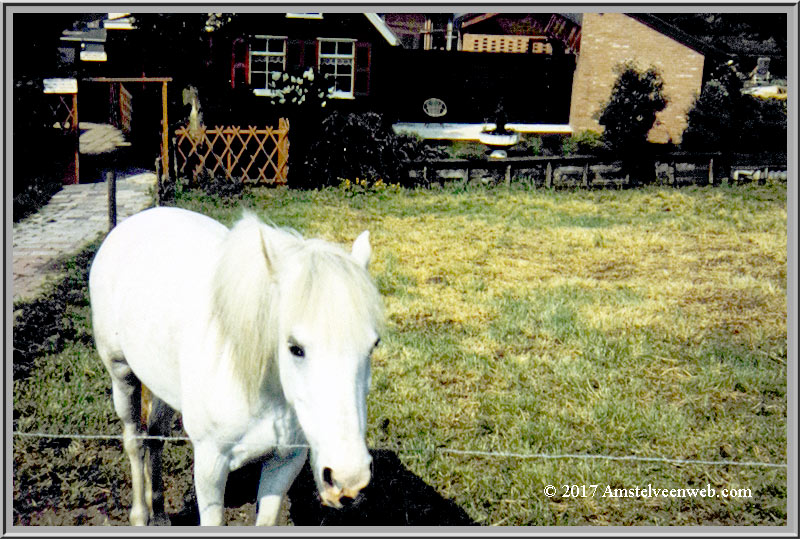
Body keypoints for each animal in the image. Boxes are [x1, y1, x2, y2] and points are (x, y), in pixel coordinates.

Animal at [89, 208, 382, 528]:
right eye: (295, 347)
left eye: (373, 345)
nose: (348, 478)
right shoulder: (211, 464)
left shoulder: (285, 462)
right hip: (122, 375)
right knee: (135, 441)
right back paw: (141, 515)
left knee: (155, 436)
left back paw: (161, 515)